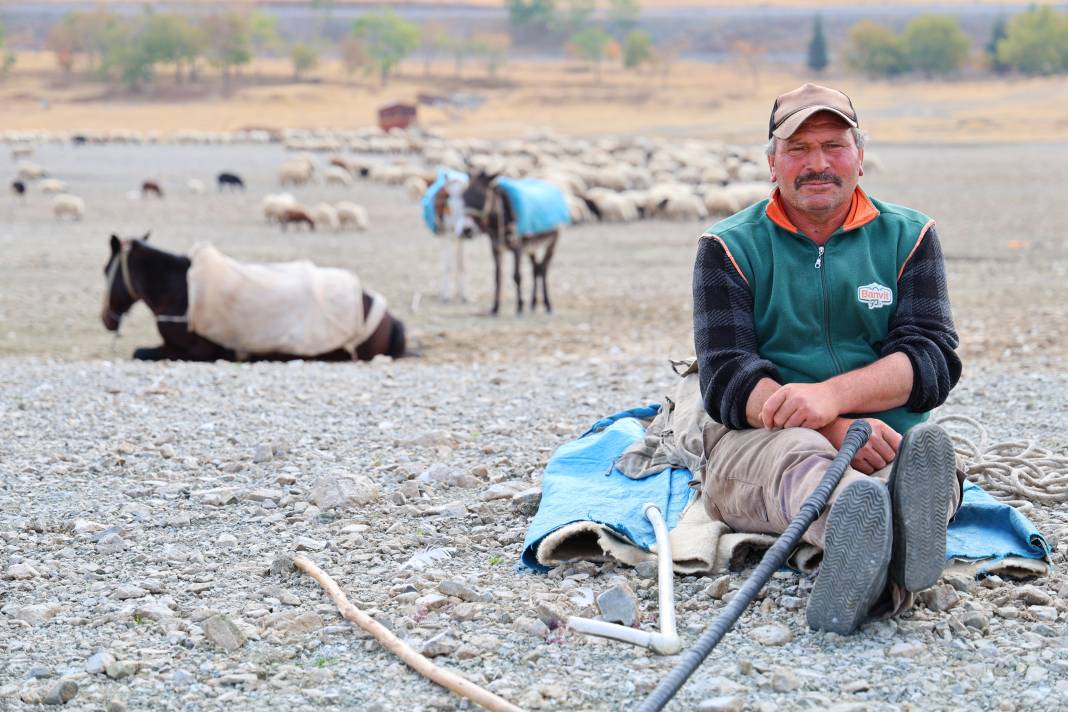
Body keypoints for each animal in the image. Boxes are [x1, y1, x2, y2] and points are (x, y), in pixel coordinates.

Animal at [100, 234, 403, 362]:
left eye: (105, 270)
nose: (106, 319)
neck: (180, 290)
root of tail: (389, 316)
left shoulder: (196, 352)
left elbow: (140, 353)